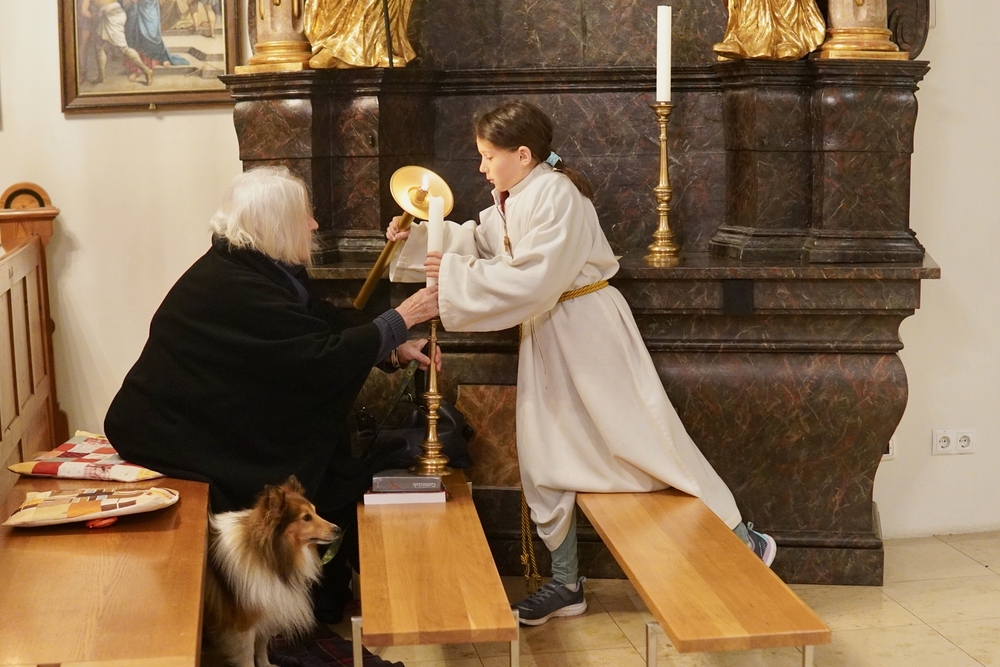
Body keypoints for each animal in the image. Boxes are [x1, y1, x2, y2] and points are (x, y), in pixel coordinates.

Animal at [202, 476, 339, 667]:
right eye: (306, 517)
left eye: (315, 511)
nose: (338, 529)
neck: (268, 554)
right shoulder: (243, 625)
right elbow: (248, 656)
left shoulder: (268, 607)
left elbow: (262, 645)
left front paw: (266, 664)